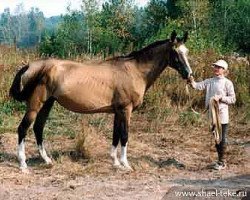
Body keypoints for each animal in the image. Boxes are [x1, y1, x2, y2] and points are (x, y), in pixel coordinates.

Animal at [9, 30, 191, 171]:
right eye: (176, 52)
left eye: (187, 51)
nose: (188, 74)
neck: (134, 71)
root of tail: (30, 66)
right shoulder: (126, 110)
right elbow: (124, 136)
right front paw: (125, 164)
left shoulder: (118, 112)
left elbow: (115, 136)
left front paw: (115, 162)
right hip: (35, 105)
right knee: (23, 128)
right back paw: (23, 164)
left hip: (48, 103)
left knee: (38, 128)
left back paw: (46, 160)